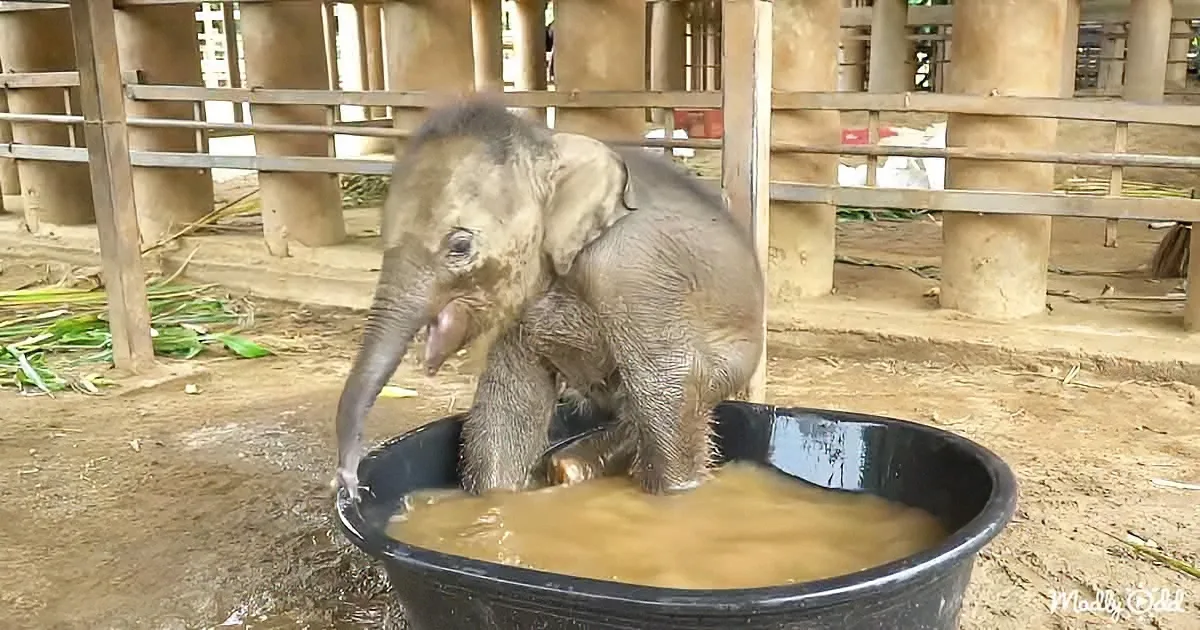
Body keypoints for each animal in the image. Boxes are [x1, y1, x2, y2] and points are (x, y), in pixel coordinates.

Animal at [334, 98, 765, 501]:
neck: (551, 146)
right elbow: (511, 397)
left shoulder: (636, 270)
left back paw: (570, 467)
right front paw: (496, 500)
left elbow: (669, 387)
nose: (351, 484)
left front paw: (677, 497)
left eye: (459, 246)